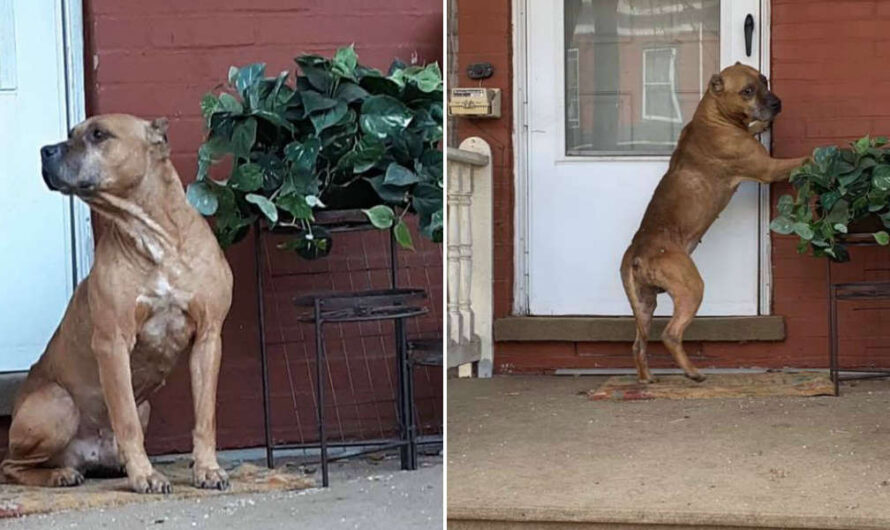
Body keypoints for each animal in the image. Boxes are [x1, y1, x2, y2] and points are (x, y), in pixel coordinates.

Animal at [1, 114, 231, 490]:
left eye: (98, 134)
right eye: (71, 134)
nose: (45, 150)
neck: (155, 237)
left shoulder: (209, 337)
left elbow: (205, 416)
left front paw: (207, 468)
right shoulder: (113, 341)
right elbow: (125, 420)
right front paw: (145, 475)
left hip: (145, 406)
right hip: (58, 403)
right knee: (10, 466)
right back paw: (61, 474)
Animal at [616, 64, 804, 382]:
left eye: (764, 80)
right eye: (747, 91)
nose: (777, 103)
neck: (714, 115)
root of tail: (638, 253)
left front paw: (759, 126)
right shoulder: (769, 168)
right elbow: (804, 159)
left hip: (643, 303)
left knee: (637, 344)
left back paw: (647, 379)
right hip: (691, 288)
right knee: (670, 334)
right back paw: (693, 373)